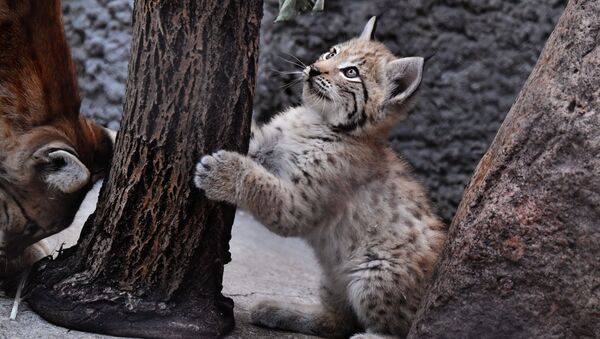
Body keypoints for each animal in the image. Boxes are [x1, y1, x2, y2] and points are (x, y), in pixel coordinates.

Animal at [197, 16, 446, 339]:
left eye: (351, 72)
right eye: (331, 53)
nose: (314, 68)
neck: (317, 119)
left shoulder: (298, 206)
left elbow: (262, 187)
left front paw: (223, 172)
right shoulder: (269, 145)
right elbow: (254, 141)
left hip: (374, 274)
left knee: (397, 326)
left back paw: (367, 336)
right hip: (332, 275)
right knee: (338, 322)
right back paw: (279, 311)